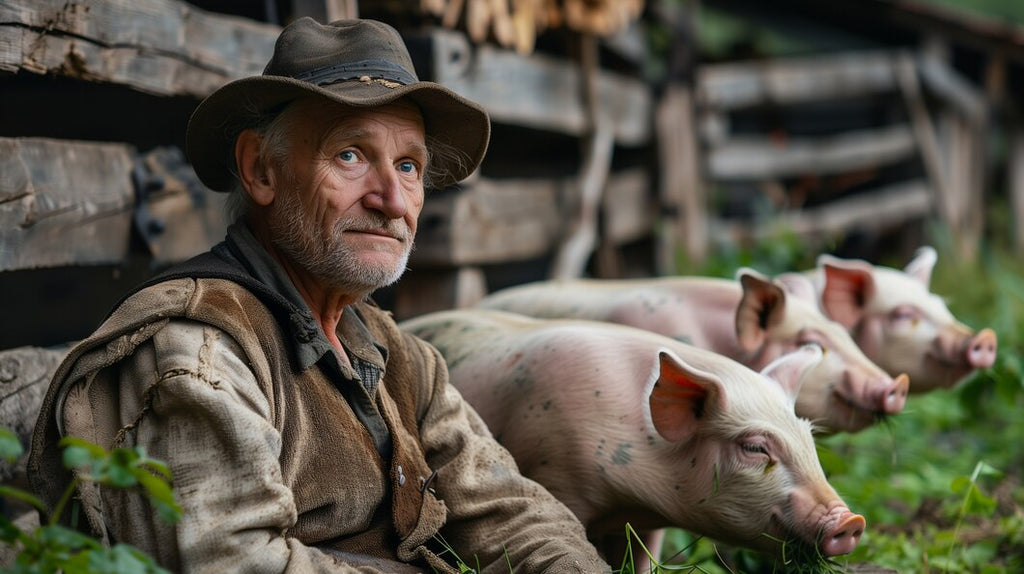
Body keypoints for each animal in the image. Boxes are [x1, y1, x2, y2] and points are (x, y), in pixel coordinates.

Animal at [400, 309, 866, 564]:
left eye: (810, 443)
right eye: (754, 447)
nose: (851, 521)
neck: (631, 499)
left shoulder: (648, 521)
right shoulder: (558, 479)